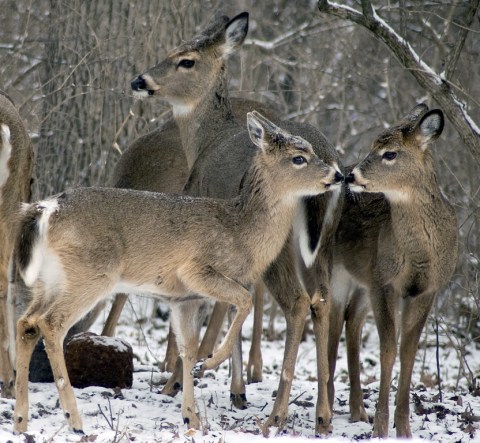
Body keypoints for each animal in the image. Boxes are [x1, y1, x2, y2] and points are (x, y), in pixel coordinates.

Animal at [10, 110, 342, 434]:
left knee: (27, 323)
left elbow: (188, 349)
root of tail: (44, 210)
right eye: (299, 157)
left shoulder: (183, 299)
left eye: (312, 151)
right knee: (51, 323)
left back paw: (21, 420)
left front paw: (191, 419)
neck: (240, 231)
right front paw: (211, 364)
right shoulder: (196, 270)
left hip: (49, 280)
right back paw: (74, 421)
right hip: (90, 274)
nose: (337, 175)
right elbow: (243, 302)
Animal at [129, 11, 344, 438]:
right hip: (324, 242)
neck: (205, 141)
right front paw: (236, 388)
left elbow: (220, 305)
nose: (139, 81)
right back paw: (323, 416)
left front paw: (192, 379)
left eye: (186, 60)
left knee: (297, 302)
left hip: (283, 246)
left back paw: (276, 415)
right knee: (322, 301)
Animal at [330, 102, 458, 438]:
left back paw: (357, 409)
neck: (419, 253)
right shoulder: (386, 282)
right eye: (372, 145)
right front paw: (381, 427)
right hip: (338, 273)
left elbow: (408, 351)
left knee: (351, 322)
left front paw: (404, 428)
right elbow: (387, 349)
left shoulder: (426, 289)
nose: (350, 175)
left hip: (364, 280)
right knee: (331, 324)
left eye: (390, 153)